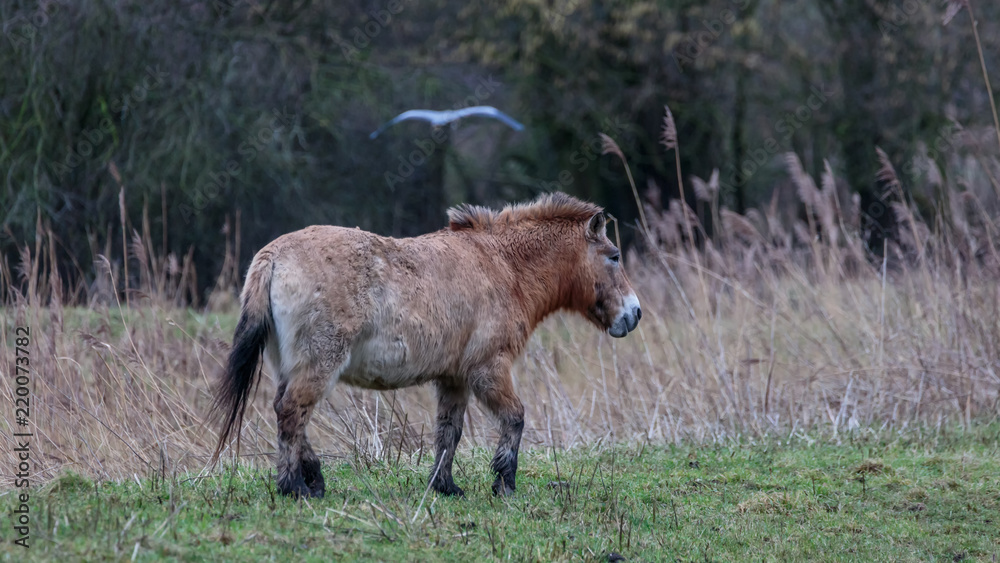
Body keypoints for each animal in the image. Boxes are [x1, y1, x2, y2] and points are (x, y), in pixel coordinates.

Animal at [211, 192, 642, 498]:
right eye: (614, 256)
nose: (634, 313)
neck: (503, 266)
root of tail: (273, 255)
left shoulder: (455, 378)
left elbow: (449, 431)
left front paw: (444, 486)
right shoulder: (489, 369)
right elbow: (514, 418)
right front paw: (504, 483)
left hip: (292, 364)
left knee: (288, 414)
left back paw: (312, 480)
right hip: (319, 364)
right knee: (291, 414)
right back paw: (295, 487)